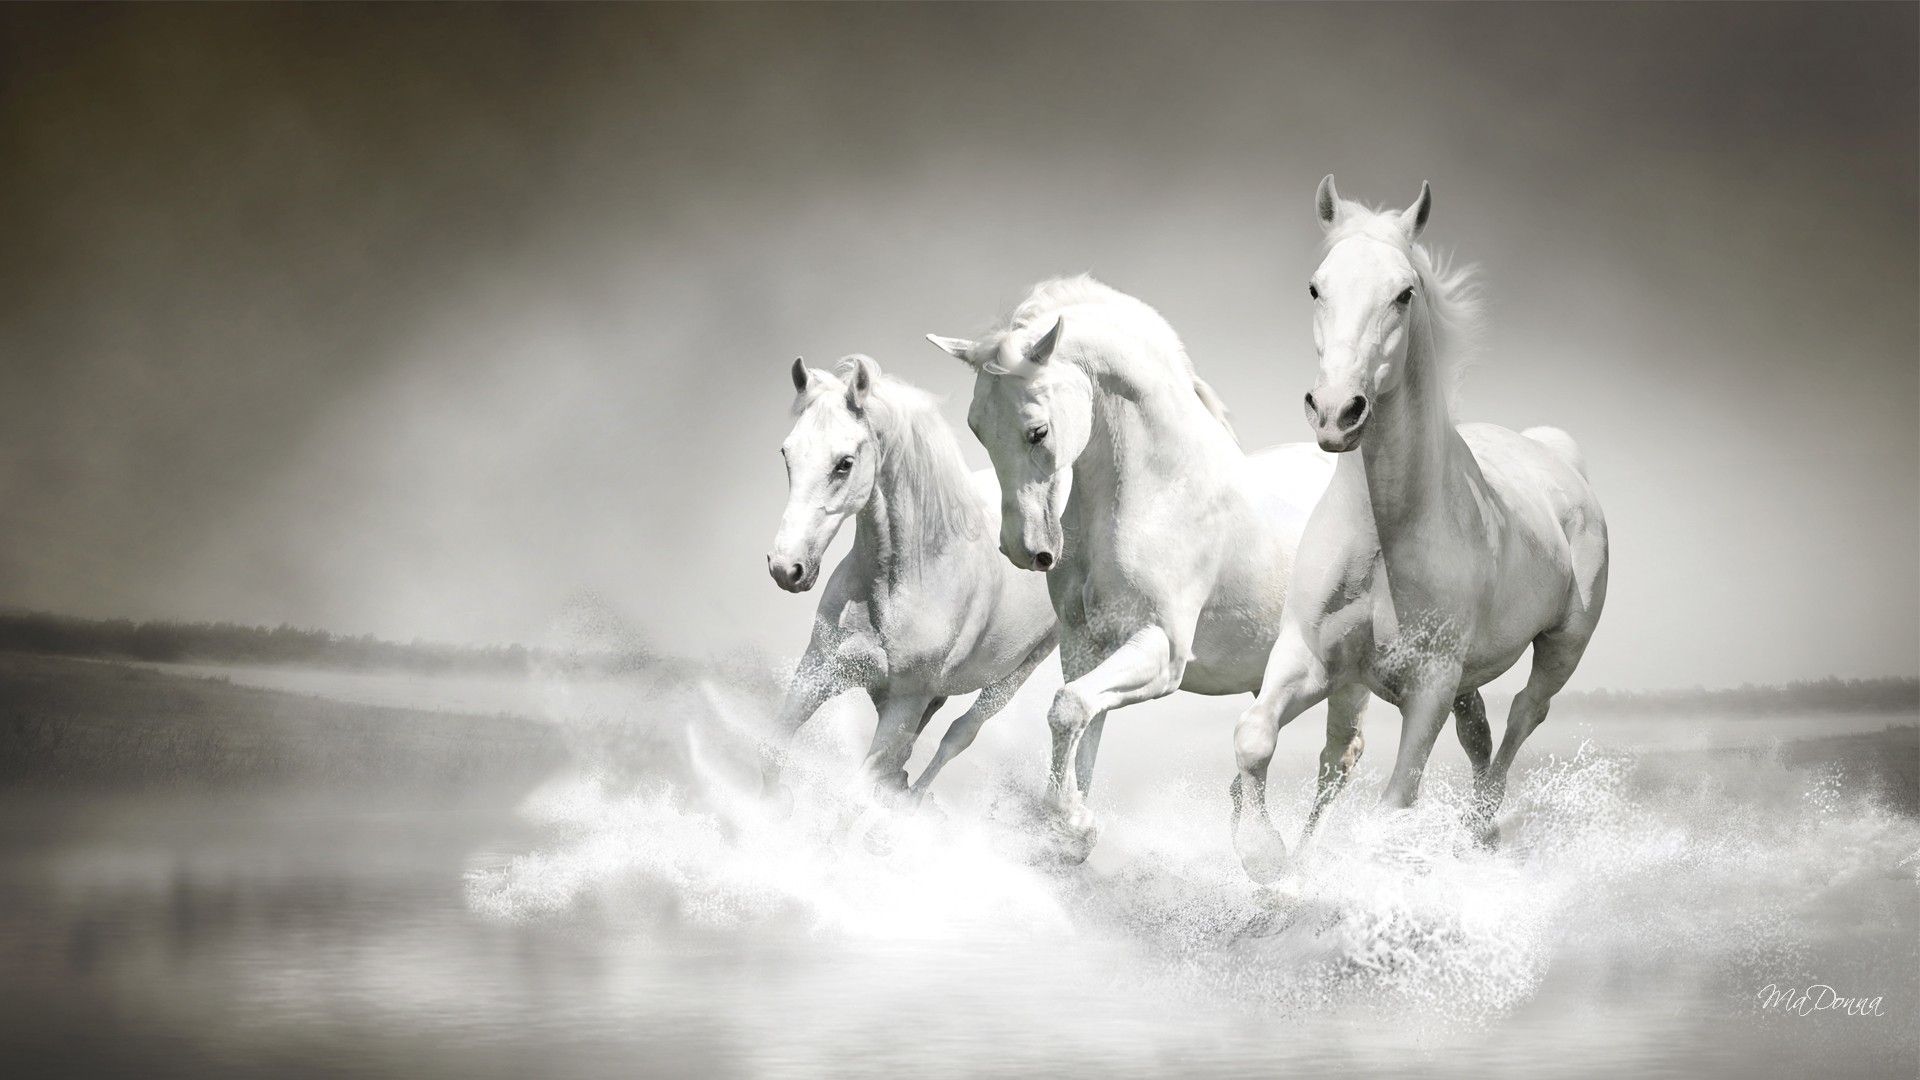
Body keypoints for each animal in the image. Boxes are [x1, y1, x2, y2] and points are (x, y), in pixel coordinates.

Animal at [764, 355, 1057, 805]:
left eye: (844, 463)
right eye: (786, 453)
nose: (786, 568)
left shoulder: (904, 704)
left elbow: (855, 796)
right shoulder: (818, 670)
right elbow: (772, 755)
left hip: (1016, 674)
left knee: (959, 734)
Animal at [927, 276, 1359, 862]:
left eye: (1037, 431)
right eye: (976, 428)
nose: (1025, 550)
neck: (1159, 492)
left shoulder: (1162, 650)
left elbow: (1067, 710)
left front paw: (1073, 823)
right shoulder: (1087, 646)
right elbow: (1082, 724)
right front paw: (1070, 828)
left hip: (1349, 674)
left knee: (1340, 759)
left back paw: (1290, 865)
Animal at [1229, 177, 1610, 881]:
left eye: (1404, 293)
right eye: (1316, 287)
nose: (1336, 412)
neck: (1385, 534)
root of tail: (1559, 459)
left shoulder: (1428, 686)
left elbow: (1396, 801)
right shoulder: (1310, 657)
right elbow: (1255, 737)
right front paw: (1266, 860)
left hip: (1562, 645)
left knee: (1525, 714)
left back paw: (1480, 827)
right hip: (1465, 679)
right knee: (1476, 732)